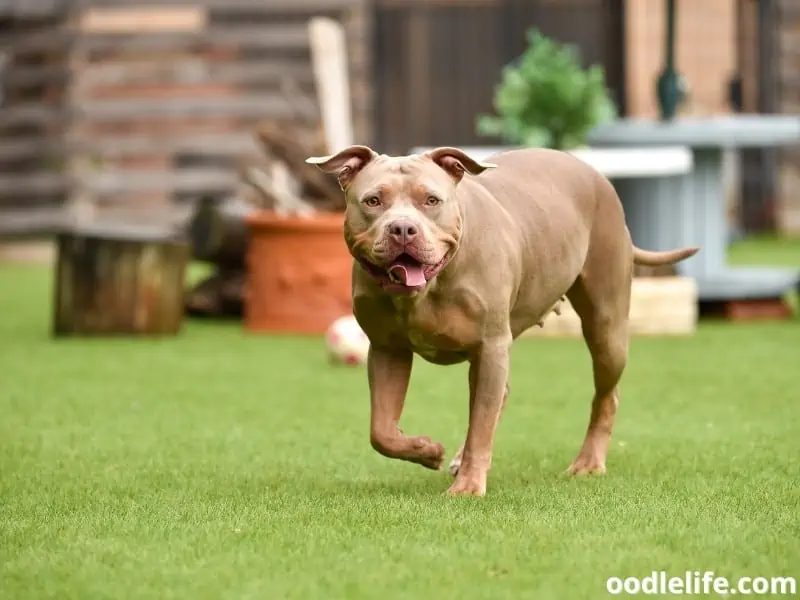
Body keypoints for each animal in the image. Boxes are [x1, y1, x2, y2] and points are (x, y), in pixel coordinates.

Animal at [306, 145, 700, 496]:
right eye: (373, 201)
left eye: (431, 201)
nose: (403, 229)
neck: (428, 288)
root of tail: (588, 169)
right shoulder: (388, 350)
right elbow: (382, 431)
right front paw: (428, 451)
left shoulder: (489, 347)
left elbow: (481, 423)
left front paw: (468, 486)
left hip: (606, 328)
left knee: (605, 395)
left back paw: (588, 463)